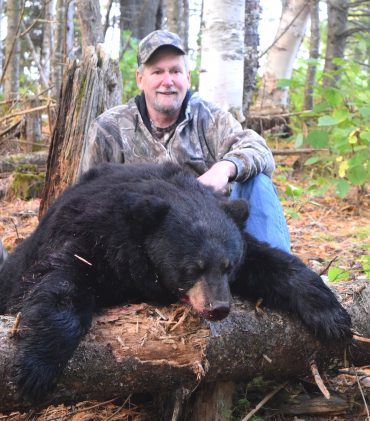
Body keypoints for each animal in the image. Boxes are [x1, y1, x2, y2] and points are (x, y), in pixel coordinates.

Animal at [0, 162, 352, 404]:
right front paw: (35, 369)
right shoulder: (91, 236)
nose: (218, 308)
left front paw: (333, 317)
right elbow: (60, 284)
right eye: (192, 268)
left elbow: (273, 263)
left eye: (228, 266)